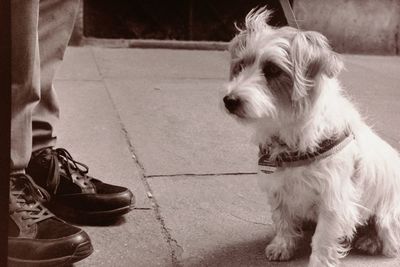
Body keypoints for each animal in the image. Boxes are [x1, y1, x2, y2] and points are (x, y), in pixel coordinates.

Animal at [223, 7, 400, 266]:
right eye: (241, 66)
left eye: (273, 70)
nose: (229, 100)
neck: (287, 130)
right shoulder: (279, 188)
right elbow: (283, 220)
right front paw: (282, 245)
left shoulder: (334, 201)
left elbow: (323, 238)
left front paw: (318, 260)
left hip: (388, 217)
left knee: (389, 239)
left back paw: (370, 241)